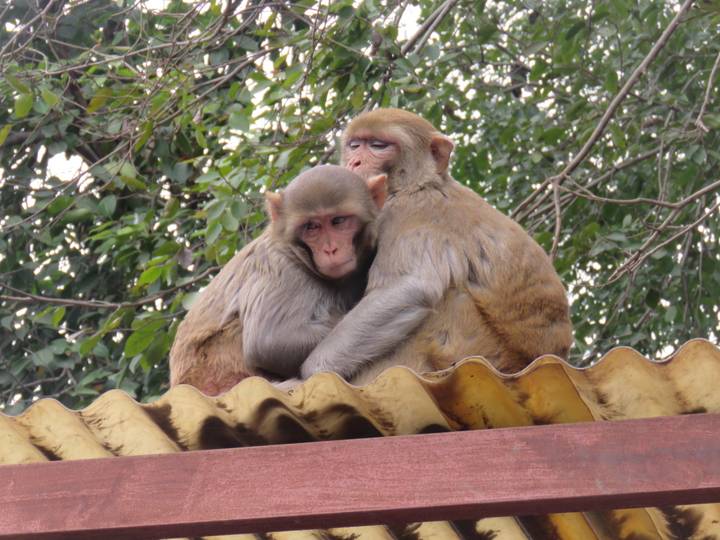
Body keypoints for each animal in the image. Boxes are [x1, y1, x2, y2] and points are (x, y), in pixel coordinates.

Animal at [291, 108, 573, 386]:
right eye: (355, 145)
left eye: (379, 146)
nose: (355, 163)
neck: (419, 184)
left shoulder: (407, 211)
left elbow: (409, 288)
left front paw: (312, 371)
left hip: (480, 349)